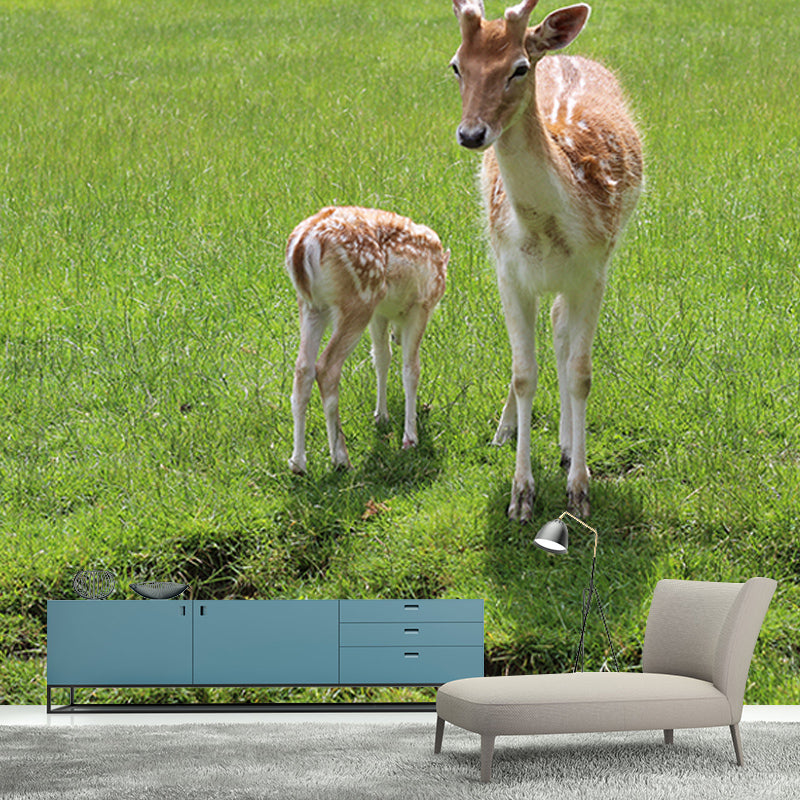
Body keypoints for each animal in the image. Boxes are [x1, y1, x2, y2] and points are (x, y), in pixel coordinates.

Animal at [286, 206, 449, 475]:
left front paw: (381, 416)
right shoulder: (420, 305)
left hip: (312, 305)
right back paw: (341, 458)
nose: (396, 336)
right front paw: (410, 438)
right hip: (358, 300)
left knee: (303, 369)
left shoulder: (380, 313)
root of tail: (302, 246)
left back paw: (298, 463)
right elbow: (411, 370)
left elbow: (381, 358)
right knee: (327, 367)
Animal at [449, 0, 643, 520]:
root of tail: (561, 53)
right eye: (457, 66)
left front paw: (579, 490)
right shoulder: (508, 272)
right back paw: (506, 432)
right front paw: (521, 496)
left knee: (560, 330)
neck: (545, 230)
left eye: (518, 67)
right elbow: (523, 374)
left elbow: (580, 372)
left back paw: (568, 446)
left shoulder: (592, 272)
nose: (471, 133)